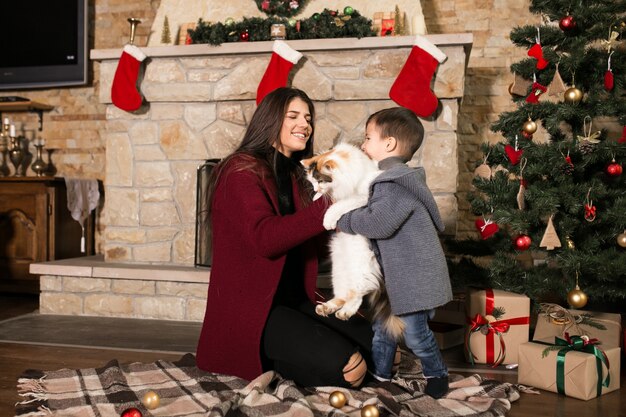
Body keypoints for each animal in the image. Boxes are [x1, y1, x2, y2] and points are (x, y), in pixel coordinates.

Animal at [302, 142, 404, 338]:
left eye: (320, 180)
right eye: (312, 181)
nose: (316, 189)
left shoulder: (361, 196)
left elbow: (338, 205)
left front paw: (327, 219)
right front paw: (317, 197)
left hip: (361, 271)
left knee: (357, 295)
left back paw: (345, 312)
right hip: (338, 272)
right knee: (342, 296)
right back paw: (325, 308)